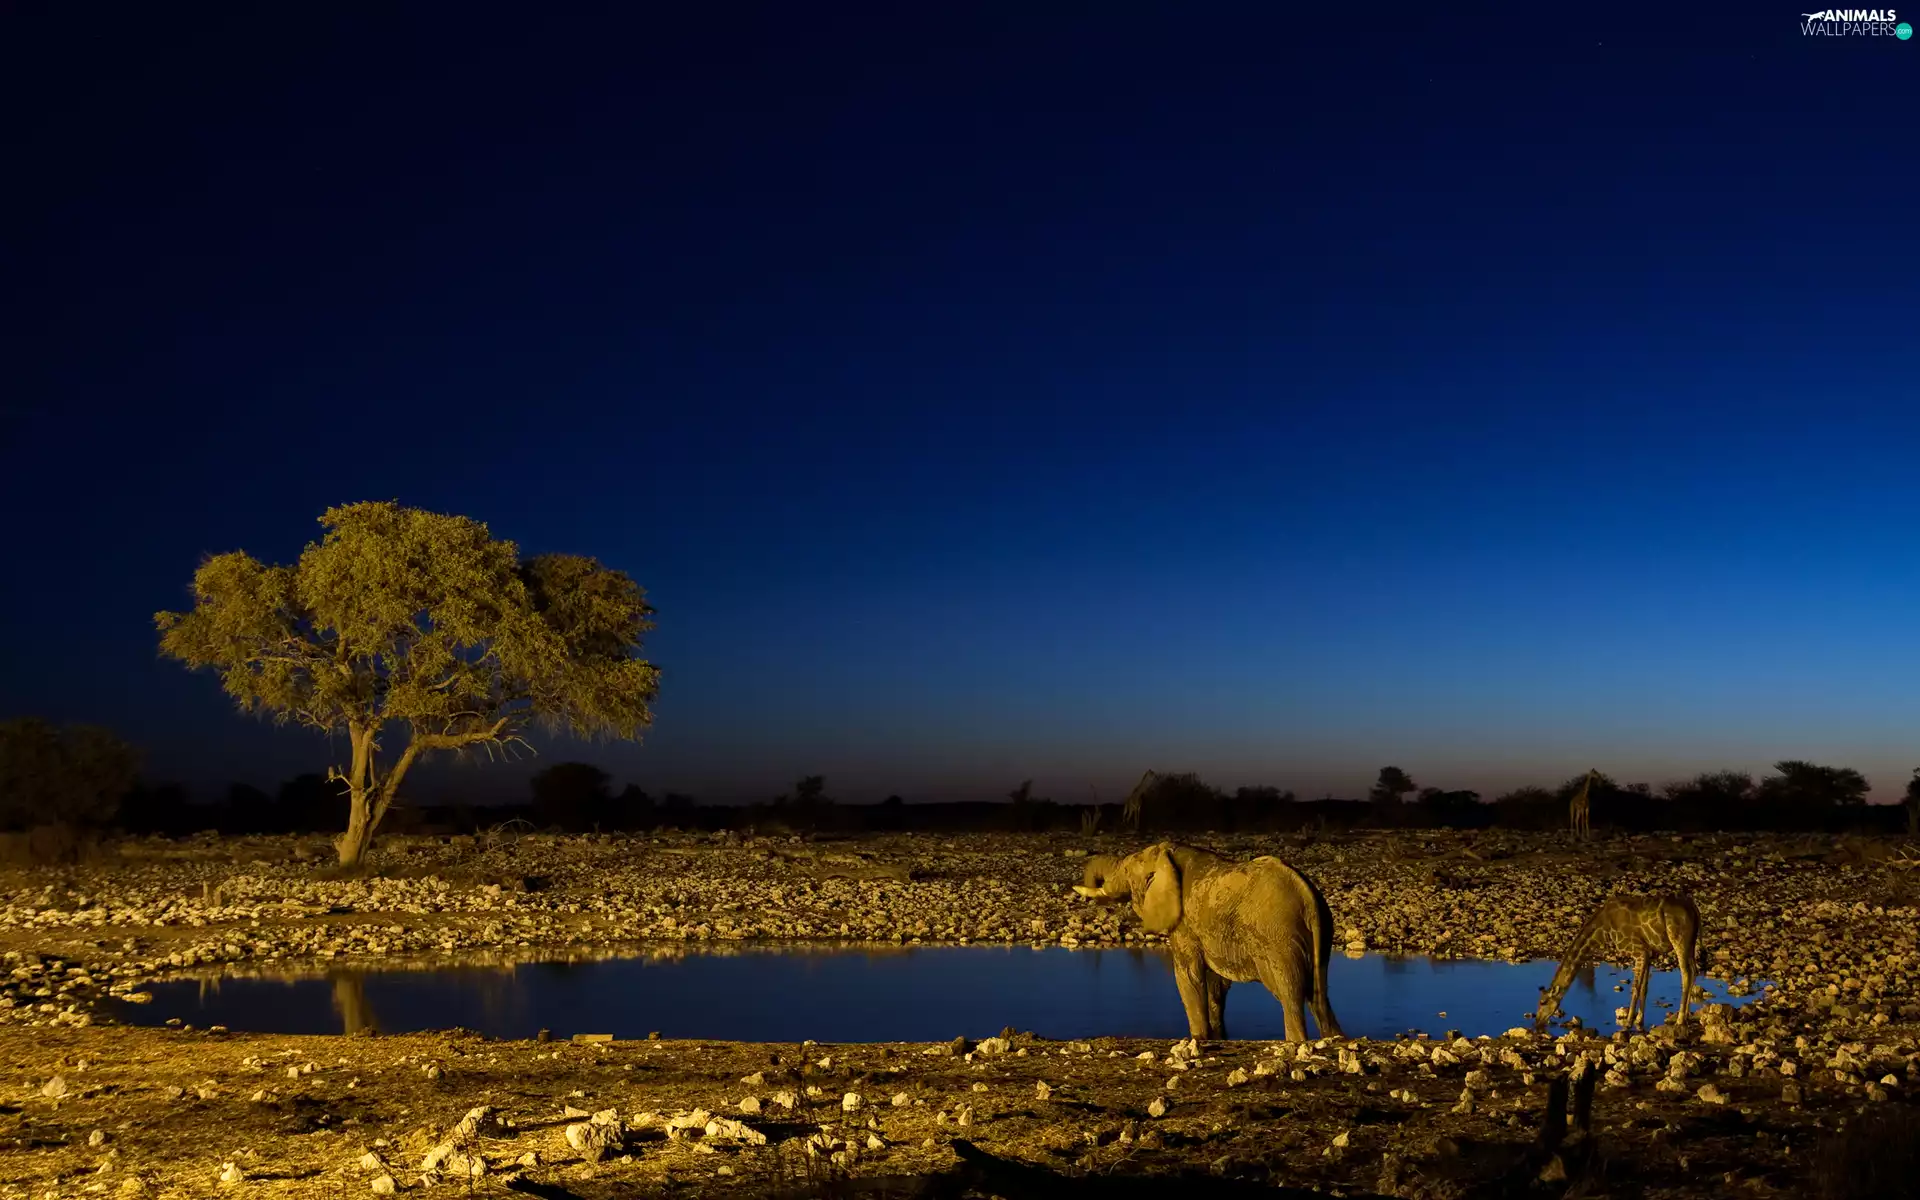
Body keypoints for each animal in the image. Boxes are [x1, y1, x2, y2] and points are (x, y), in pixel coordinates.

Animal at [1074, 841, 1341, 1043]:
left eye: (1128, 871)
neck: (1166, 853)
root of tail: (1308, 895)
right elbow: (1216, 983)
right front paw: (1217, 1037)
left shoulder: (1184, 924)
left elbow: (1188, 975)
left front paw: (1198, 1038)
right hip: (1321, 933)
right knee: (1319, 997)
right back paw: (1335, 1038)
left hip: (1279, 938)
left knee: (1290, 994)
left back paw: (1296, 1041)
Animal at [1534, 892, 1700, 1033]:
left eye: (1543, 1002)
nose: (1537, 1023)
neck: (1603, 928)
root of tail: (1694, 908)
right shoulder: (1649, 952)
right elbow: (1644, 988)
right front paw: (1639, 1021)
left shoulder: (1639, 951)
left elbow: (1635, 988)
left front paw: (1628, 1023)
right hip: (1691, 942)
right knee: (1694, 970)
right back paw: (1687, 1017)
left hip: (1679, 939)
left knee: (1686, 973)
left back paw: (1680, 1020)